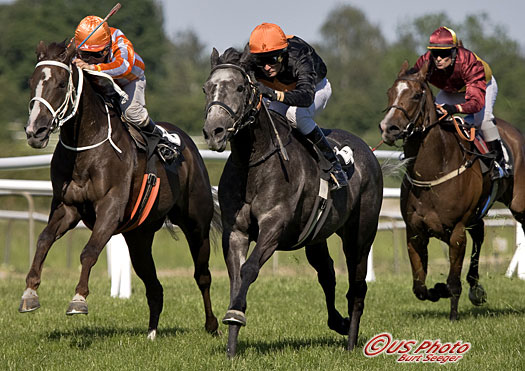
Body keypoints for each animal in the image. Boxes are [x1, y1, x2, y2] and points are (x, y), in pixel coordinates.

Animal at [18, 40, 219, 340]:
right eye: (32, 82)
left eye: (62, 83)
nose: (35, 131)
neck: (85, 148)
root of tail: (189, 144)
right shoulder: (68, 207)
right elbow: (43, 240)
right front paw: (30, 293)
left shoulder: (110, 208)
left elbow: (89, 251)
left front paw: (78, 299)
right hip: (139, 236)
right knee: (154, 286)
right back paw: (151, 332)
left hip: (196, 223)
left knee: (202, 275)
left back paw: (212, 325)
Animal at [201, 47, 380, 358]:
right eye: (207, 88)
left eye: (239, 87)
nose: (215, 132)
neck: (254, 163)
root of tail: (367, 151)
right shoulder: (235, 231)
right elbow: (237, 277)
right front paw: (232, 343)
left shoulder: (273, 227)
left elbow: (249, 269)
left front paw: (236, 315)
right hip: (316, 236)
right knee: (327, 273)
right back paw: (339, 323)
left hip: (360, 235)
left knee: (357, 286)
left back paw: (351, 341)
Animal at [378, 60, 524, 320]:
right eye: (390, 92)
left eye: (416, 95)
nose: (389, 128)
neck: (433, 171)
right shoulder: (414, 232)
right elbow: (419, 287)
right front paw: (437, 290)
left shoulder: (456, 231)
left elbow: (453, 280)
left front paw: (453, 310)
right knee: (480, 233)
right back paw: (475, 287)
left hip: (518, 203)